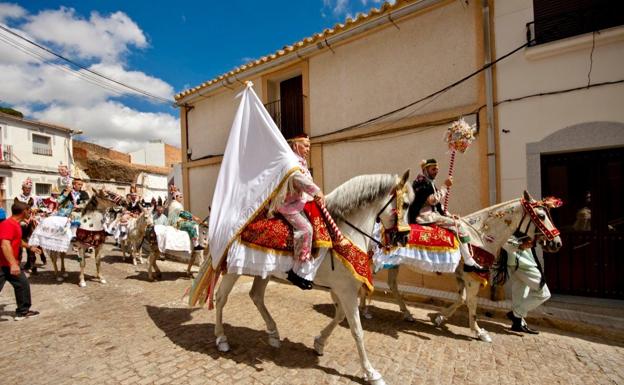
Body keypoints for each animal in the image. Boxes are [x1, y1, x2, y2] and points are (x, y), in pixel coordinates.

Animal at [207, 171, 414, 384]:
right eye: (406, 204)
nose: (405, 238)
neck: (346, 233)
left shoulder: (339, 290)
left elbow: (339, 316)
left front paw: (319, 343)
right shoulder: (346, 291)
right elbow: (357, 330)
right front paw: (371, 373)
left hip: (264, 271)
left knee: (256, 295)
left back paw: (273, 334)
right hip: (234, 270)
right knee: (221, 298)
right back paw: (222, 339)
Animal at [364, 190, 564, 340]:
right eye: (541, 216)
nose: (557, 243)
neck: (481, 235)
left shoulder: (461, 275)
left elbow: (461, 299)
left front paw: (439, 318)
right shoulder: (472, 278)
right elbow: (471, 303)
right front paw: (478, 332)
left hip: (393, 264)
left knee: (391, 285)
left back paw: (404, 313)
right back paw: (366, 311)